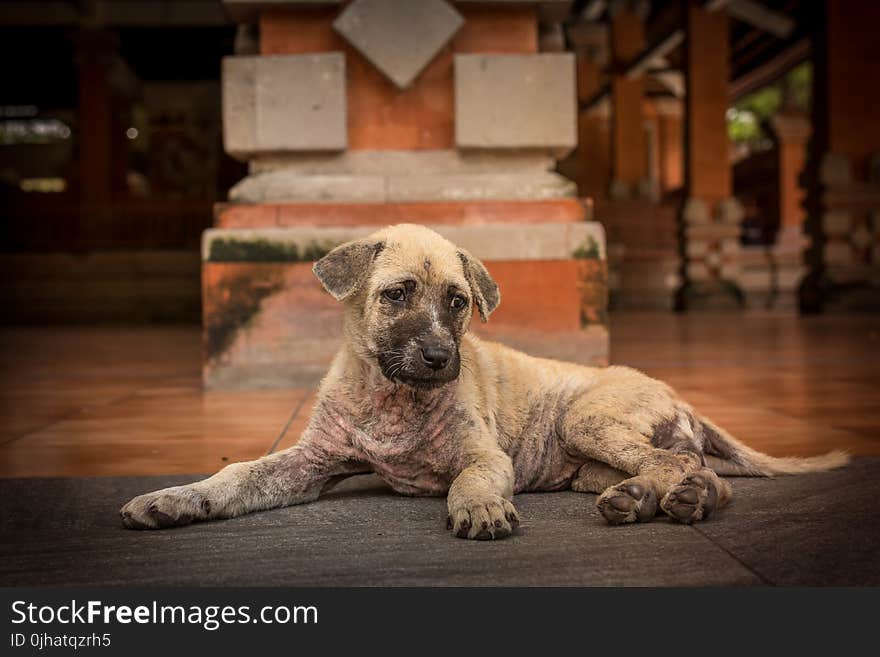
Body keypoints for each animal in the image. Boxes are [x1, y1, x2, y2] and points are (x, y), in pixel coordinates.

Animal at [120, 223, 848, 536]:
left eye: (458, 302)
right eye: (396, 295)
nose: (442, 358)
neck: (391, 396)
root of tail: (679, 395)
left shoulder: (483, 454)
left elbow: (468, 478)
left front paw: (478, 507)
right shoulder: (308, 461)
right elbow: (238, 474)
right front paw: (176, 499)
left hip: (586, 419)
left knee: (699, 473)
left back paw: (688, 500)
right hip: (587, 463)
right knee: (670, 468)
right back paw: (642, 500)